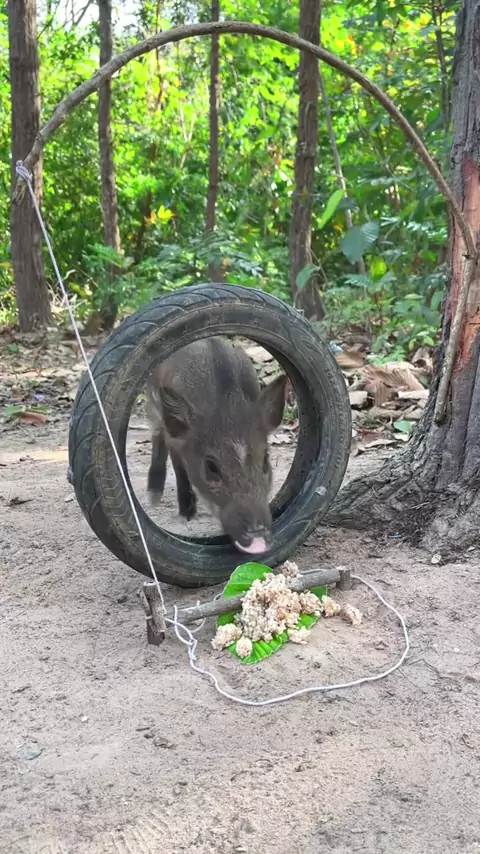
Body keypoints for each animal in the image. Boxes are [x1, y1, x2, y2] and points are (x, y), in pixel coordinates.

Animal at [145, 337, 287, 555]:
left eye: (265, 462)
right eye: (211, 467)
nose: (258, 540)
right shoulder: (175, 439)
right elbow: (180, 468)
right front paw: (186, 516)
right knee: (156, 434)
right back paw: (153, 498)